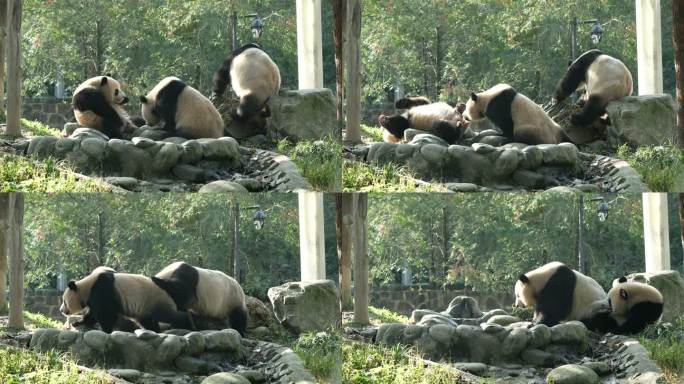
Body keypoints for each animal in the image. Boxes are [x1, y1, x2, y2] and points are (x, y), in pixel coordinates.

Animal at [60, 268, 194, 332]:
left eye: (65, 301)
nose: (61, 310)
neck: (87, 286)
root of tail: (167, 292)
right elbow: (93, 314)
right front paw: (78, 322)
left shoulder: (102, 290)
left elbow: (105, 314)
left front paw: (106, 330)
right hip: (145, 308)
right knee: (147, 321)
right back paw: (154, 331)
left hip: (155, 300)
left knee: (169, 315)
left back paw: (189, 324)